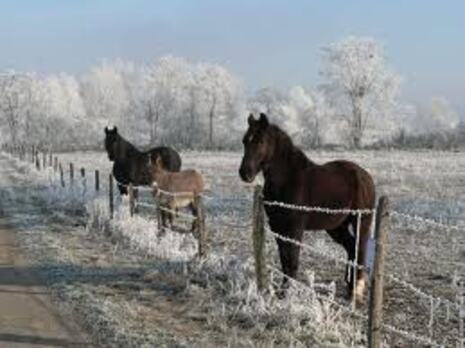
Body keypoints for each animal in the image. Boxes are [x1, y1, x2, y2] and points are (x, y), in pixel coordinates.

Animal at [237, 112, 376, 302]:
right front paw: (282, 293)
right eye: (245, 140)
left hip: (361, 221)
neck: (287, 179)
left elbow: (292, 260)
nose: (245, 173)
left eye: (260, 141)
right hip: (336, 226)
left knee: (360, 249)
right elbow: (284, 260)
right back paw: (349, 287)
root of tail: (365, 176)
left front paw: (289, 294)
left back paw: (356, 291)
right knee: (351, 247)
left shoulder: (295, 228)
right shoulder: (277, 226)